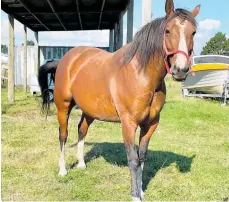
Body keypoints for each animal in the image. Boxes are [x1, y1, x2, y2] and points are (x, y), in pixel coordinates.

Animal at [38, 0, 199, 200]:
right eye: (168, 30)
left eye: (193, 32)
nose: (181, 70)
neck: (141, 74)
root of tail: (64, 60)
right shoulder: (128, 124)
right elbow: (133, 160)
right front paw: (134, 195)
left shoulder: (151, 124)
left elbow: (142, 157)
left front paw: (141, 190)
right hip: (63, 107)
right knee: (63, 135)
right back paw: (62, 170)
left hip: (89, 111)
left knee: (81, 130)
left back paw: (81, 163)